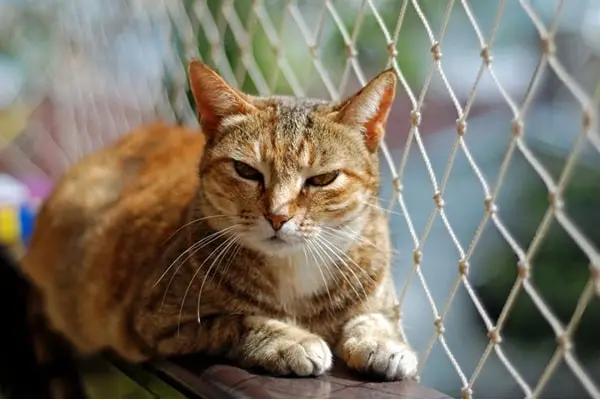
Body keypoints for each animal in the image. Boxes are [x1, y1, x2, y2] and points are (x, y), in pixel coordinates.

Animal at [21, 59, 420, 382]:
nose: (278, 215)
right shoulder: (156, 320)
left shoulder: (378, 292)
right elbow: (239, 320)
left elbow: (376, 318)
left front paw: (383, 343)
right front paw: (288, 339)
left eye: (322, 179)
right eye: (246, 171)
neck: (294, 271)